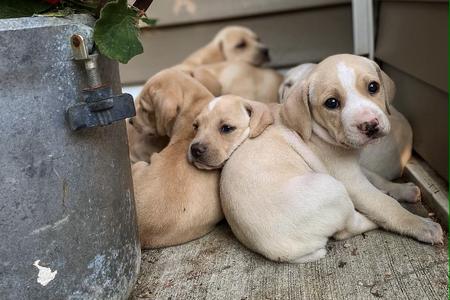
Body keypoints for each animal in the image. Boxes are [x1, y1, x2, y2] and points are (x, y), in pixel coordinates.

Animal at [188, 94, 378, 262]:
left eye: (227, 128)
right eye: (196, 126)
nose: (195, 149)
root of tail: (283, 252)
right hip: (334, 188)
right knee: (349, 227)